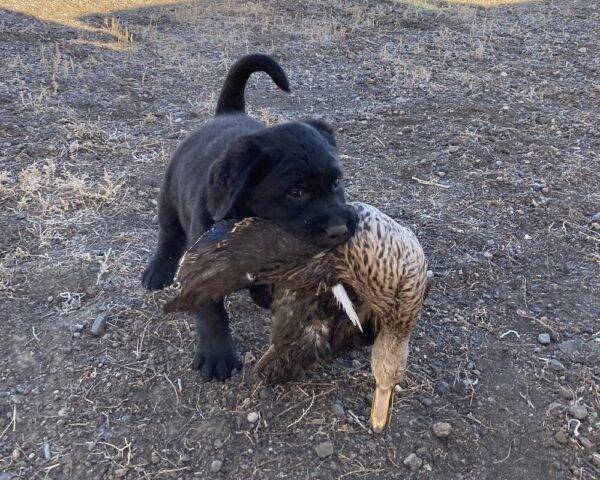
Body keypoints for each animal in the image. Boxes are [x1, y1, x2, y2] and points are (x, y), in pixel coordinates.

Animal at [142, 52, 356, 380]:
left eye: (336, 183)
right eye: (296, 192)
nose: (340, 230)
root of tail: (226, 114)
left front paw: (264, 293)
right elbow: (211, 311)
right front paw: (217, 356)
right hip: (169, 202)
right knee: (168, 238)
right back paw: (158, 272)